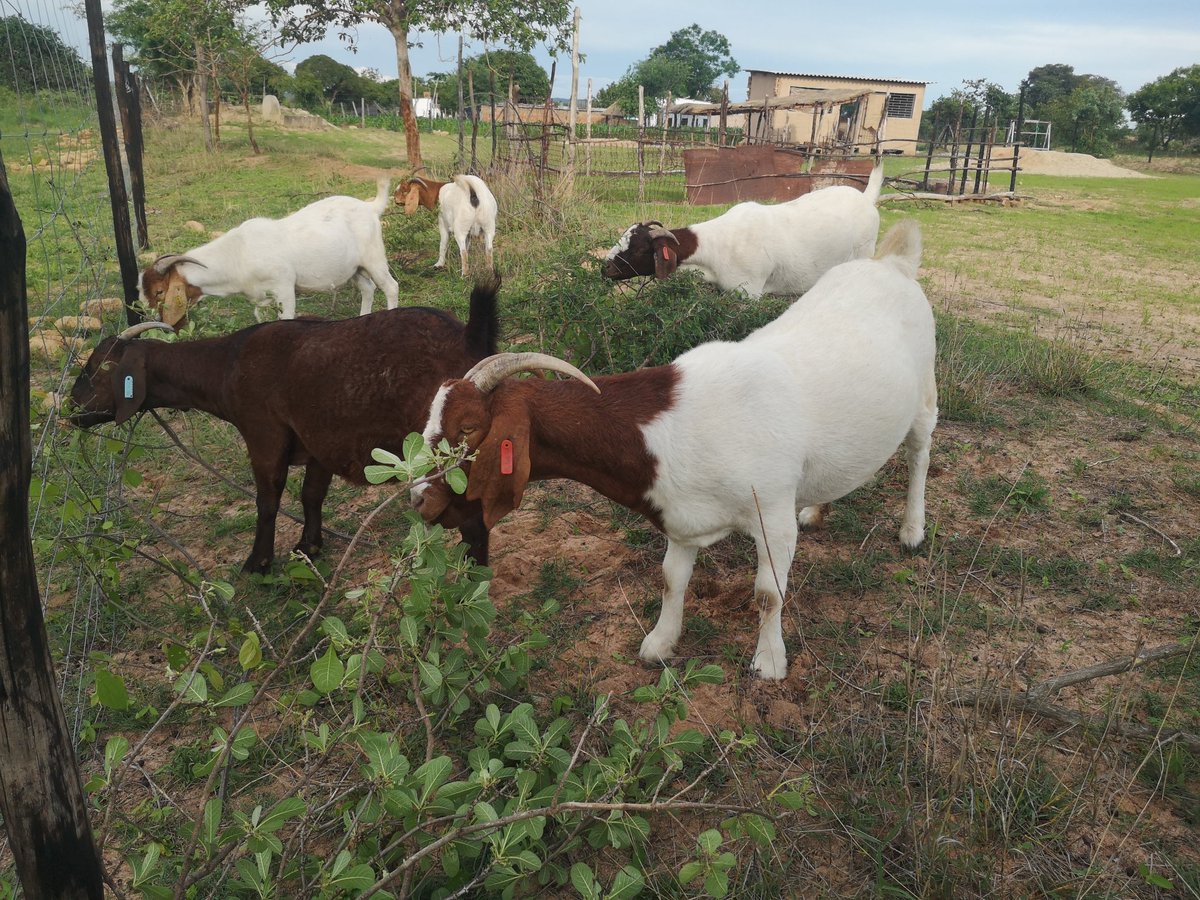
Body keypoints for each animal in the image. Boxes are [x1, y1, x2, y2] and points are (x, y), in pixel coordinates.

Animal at [69, 276, 502, 573]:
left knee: (472, 518)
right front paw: (307, 547)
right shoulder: (318, 441)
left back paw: (469, 579)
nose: (73, 411)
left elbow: (267, 501)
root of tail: (469, 337)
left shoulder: (264, 434)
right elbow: (311, 495)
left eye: (96, 368)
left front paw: (258, 563)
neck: (227, 363)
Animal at [140, 178, 400, 328]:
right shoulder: (260, 298)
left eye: (160, 291)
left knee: (390, 287)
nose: (155, 320)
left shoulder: (284, 288)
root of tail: (371, 207)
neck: (239, 253)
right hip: (355, 268)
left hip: (374, 258)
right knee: (368, 288)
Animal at [414, 221, 936, 680]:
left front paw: (769, 663)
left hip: (924, 395)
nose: (419, 500)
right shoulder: (680, 517)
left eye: (468, 428)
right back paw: (819, 511)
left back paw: (912, 530)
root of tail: (892, 264)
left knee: (919, 453)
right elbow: (671, 580)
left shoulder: (772, 514)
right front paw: (659, 644)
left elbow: (768, 594)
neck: (668, 425)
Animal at [603, 160, 884, 299]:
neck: (716, 246)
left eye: (636, 250)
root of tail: (866, 198)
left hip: (864, 253)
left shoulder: (748, 293)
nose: (605, 268)